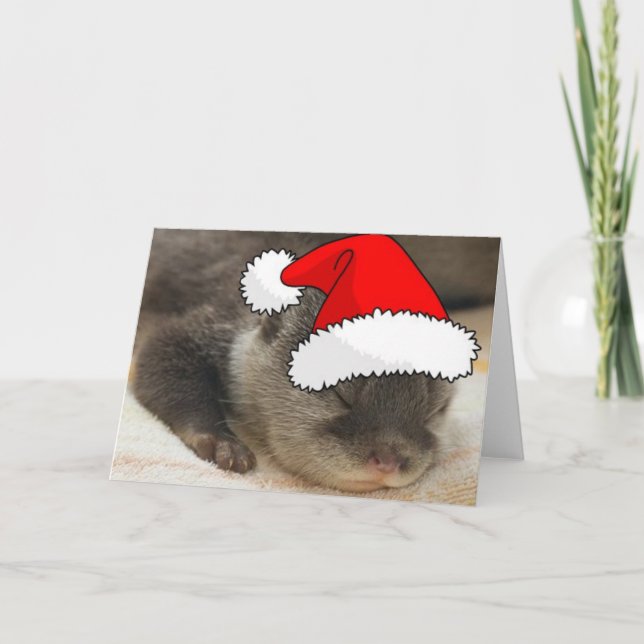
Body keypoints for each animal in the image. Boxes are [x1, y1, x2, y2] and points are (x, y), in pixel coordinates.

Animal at [132, 230, 498, 492]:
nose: (389, 460)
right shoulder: (210, 321)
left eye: (432, 412)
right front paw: (221, 442)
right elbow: (158, 356)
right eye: (340, 394)